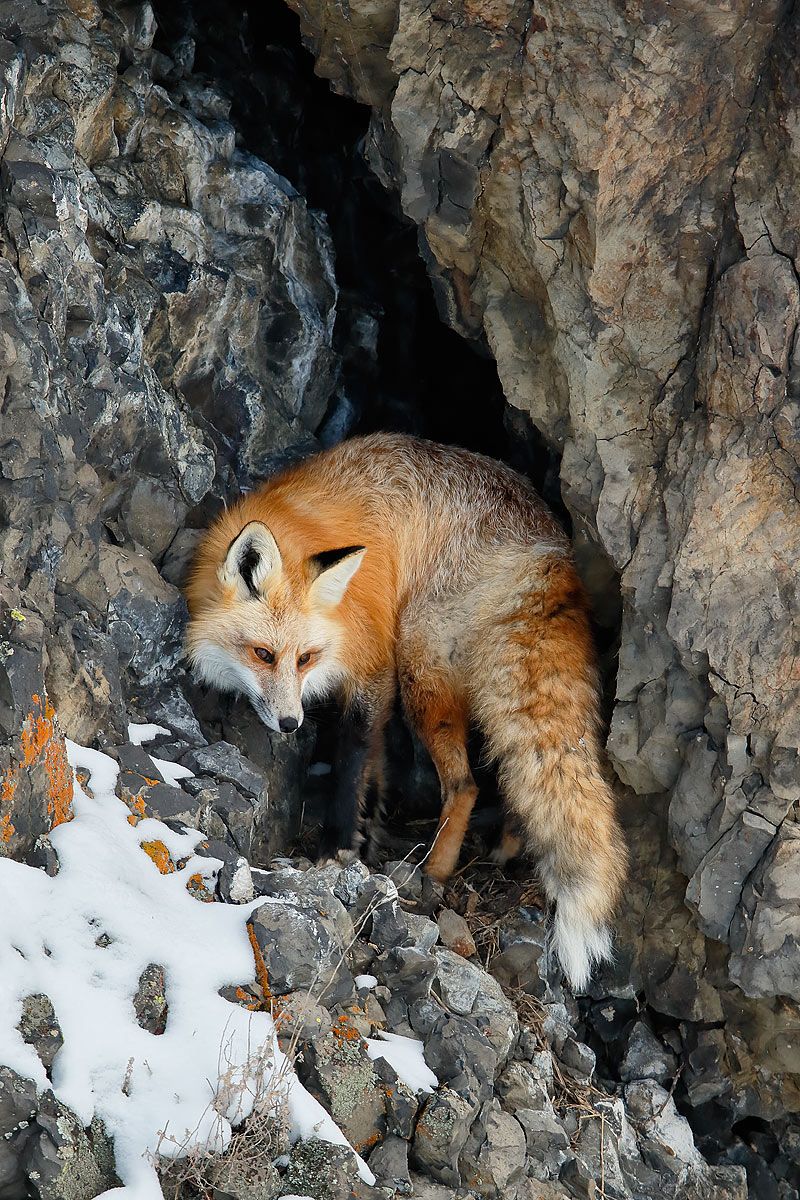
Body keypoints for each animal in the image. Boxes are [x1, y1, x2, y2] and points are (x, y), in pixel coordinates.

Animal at [185, 433, 627, 990]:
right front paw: (368, 826)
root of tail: (548, 545)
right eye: (263, 654)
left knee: (465, 785)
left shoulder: (375, 664)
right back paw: (505, 845)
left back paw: (435, 870)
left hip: (419, 669)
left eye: (305, 658)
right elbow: (374, 762)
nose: (290, 723)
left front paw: (338, 844)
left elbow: (353, 756)